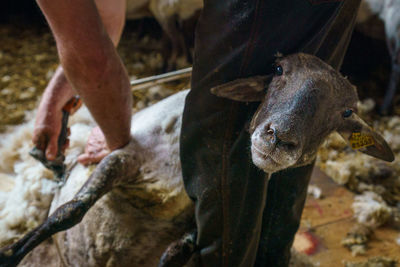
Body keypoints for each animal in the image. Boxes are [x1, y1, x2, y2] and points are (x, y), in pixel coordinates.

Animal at [0, 53, 394, 266]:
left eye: (346, 112)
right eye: (279, 70)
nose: (279, 138)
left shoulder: (201, 222)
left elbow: (174, 254)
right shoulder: (124, 157)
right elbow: (71, 211)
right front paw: (9, 254)